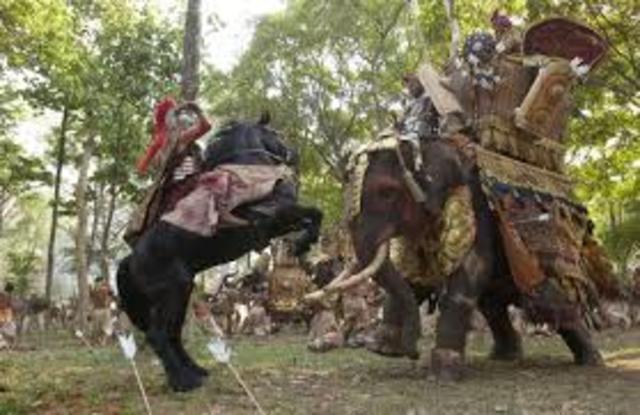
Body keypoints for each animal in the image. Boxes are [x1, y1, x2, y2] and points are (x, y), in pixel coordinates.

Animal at [117, 118, 322, 392]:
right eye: (276, 133)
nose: (293, 154)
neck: (249, 167)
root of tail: (130, 260)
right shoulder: (277, 216)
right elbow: (316, 212)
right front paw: (303, 244)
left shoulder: (278, 223)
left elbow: (312, 217)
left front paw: (303, 245)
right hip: (173, 291)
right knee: (158, 334)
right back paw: (184, 381)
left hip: (180, 293)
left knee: (172, 334)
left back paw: (196, 371)